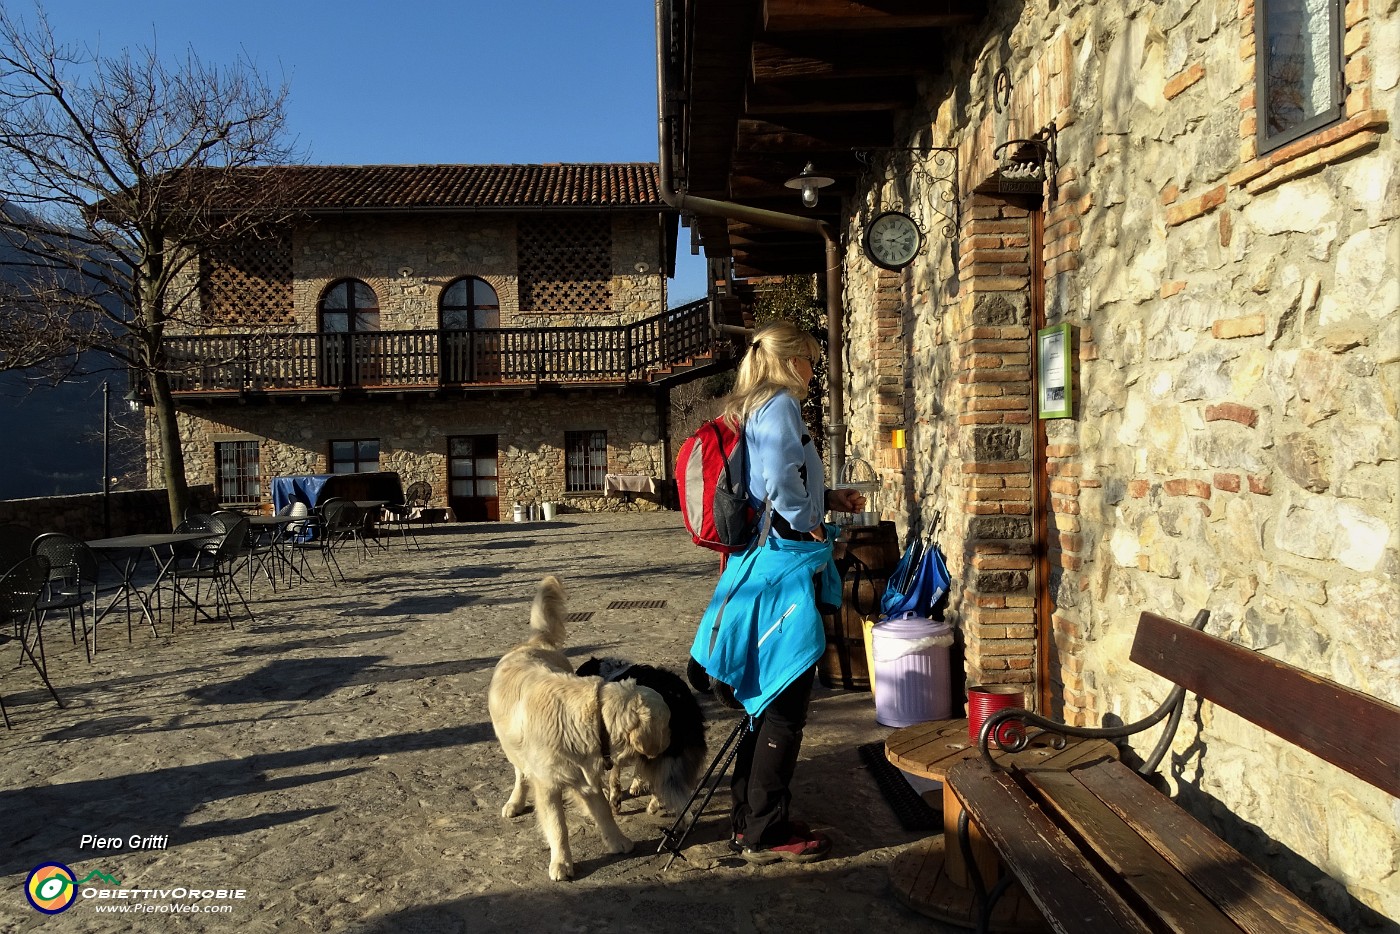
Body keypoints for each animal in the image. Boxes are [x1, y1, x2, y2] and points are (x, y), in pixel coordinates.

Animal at [490, 574, 669, 879]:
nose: (672, 742)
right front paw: (561, 862)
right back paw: (515, 802)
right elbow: (557, 826)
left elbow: (603, 810)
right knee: (520, 774)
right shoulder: (547, 784)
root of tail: (531, 644)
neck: (592, 720)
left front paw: (617, 840)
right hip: (512, 747)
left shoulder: (587, 775)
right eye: (668, 723)